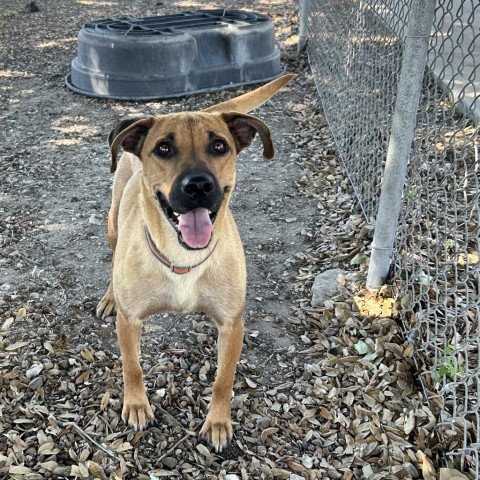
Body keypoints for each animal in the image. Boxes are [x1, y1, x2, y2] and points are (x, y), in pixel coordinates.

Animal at [96, 73, 294, 452]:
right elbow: (132, 367)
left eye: (218, 146)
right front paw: (137, 404)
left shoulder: (232, 325)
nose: (199, 185)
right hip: (113, 224)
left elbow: (223, 380)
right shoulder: (130, 322)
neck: (182, 257)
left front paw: (217, 423)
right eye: (163, 148)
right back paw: (110, 296)